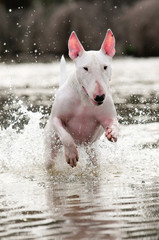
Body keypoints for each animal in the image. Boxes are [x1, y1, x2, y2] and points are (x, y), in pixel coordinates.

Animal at [44, 29, 118, 169]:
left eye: (105, 67)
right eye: (85, 68)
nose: (100, 96)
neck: (85, 99)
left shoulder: (106, 116)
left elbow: (113, 123)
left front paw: (113, 133)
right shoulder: (56, 118)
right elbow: (66, 136)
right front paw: (71, 155)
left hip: (92, 151)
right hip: (51, 146)